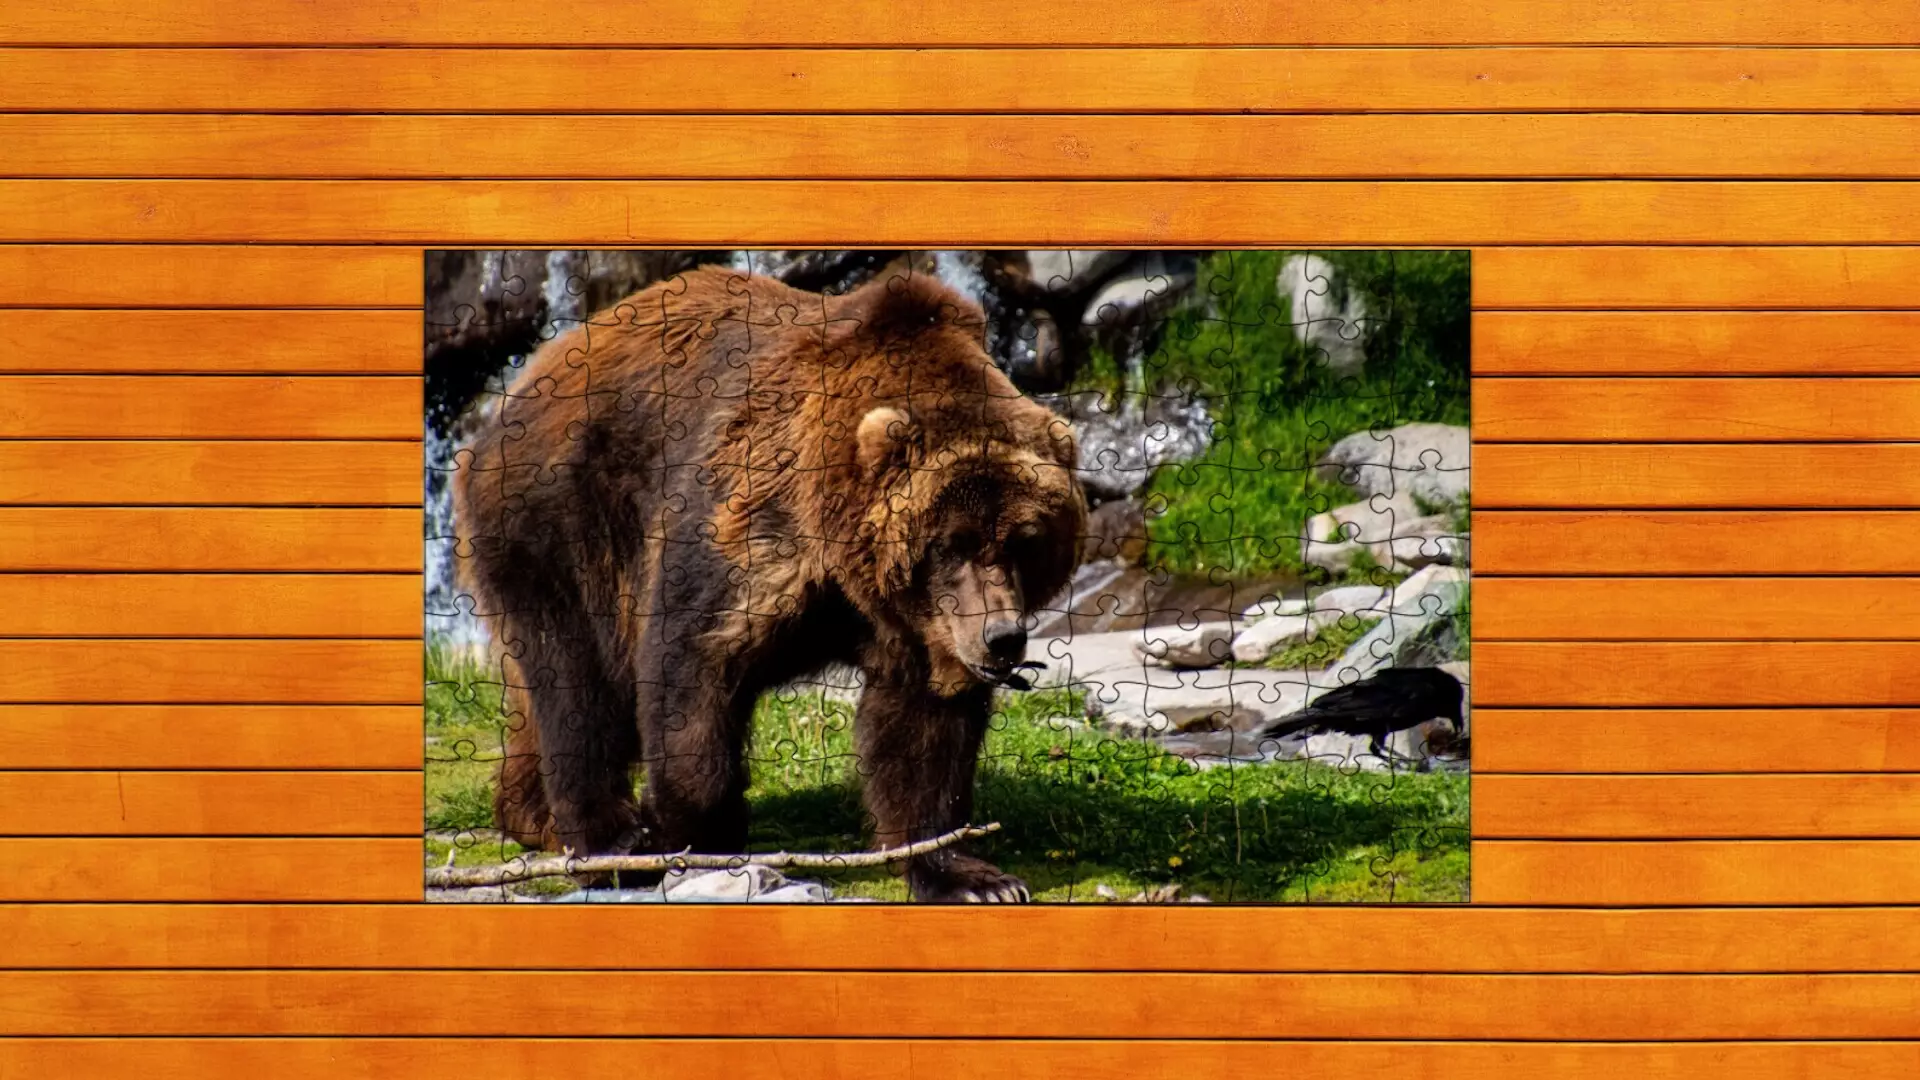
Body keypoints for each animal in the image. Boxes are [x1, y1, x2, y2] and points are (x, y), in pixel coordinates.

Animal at [452, 263, 1087, 902]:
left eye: (1025, 540)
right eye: (951, 543)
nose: (1000, 636)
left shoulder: (918, 624)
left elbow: (923, 731)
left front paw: (967, 874)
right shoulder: (750, 528)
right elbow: (692, 669)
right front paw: (696, 834)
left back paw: (531, 814)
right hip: (563, 519)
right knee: (578, 677)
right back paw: (610, 839)